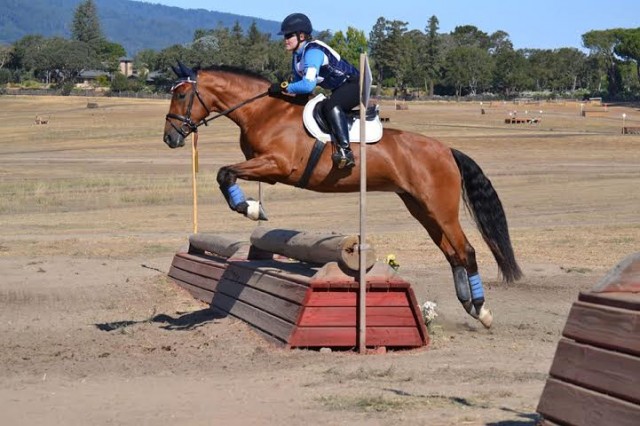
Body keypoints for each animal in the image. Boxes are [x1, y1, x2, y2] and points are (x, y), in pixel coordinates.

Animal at [162, 62, 524, 330]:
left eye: (182, 95)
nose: (170, 138)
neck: (264, 111)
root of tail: (446, 149)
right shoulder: (266, 169)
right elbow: (226, 173)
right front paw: (252, 207)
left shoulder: (278, 165)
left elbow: (225, 173)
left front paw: (249, 208)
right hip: (421, 208)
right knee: (452, 253)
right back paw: (470, 306)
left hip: (440, 208)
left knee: (466, 250)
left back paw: (482, 311)